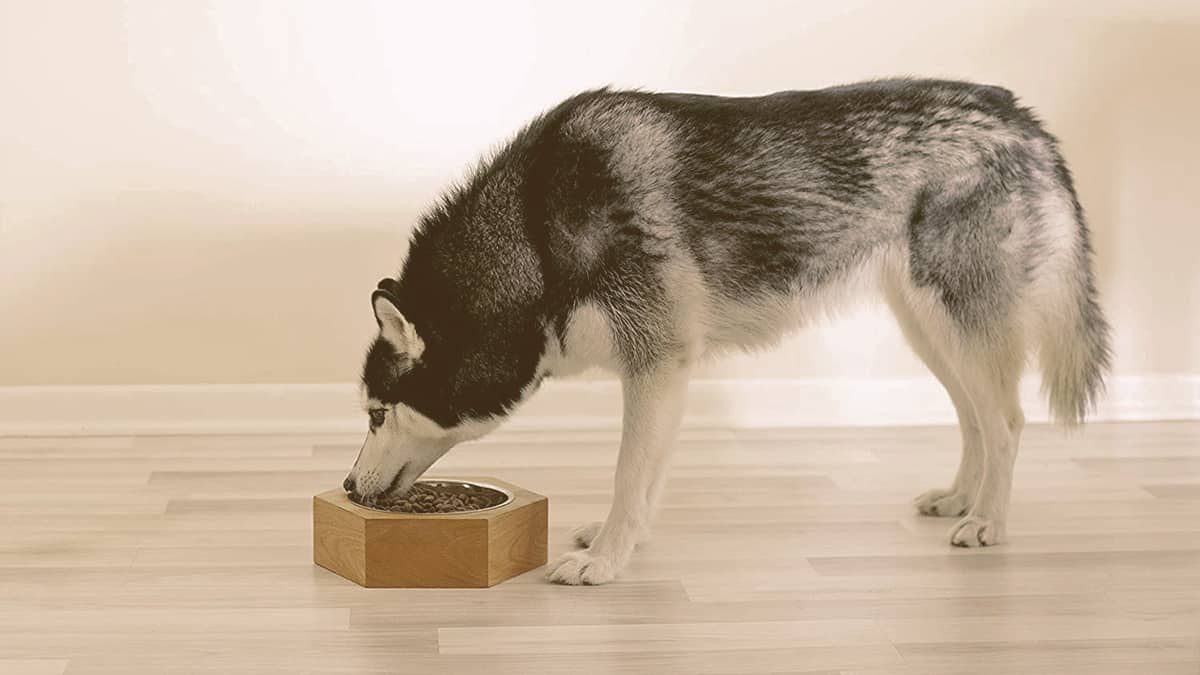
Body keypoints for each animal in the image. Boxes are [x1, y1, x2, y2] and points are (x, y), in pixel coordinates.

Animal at [343, 78, 1108, 583]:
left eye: (377, 413)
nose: (347, 488)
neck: (533, 234)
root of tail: (1018, 113)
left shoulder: (658, 364)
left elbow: (629, 473)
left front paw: (605, 560)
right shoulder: (658, 373)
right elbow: (645, 478)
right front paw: (621, 542)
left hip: (959, 323)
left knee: (1007, 421)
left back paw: (989, 524)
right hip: (931, 330)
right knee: (975, 419)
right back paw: (959, 499)